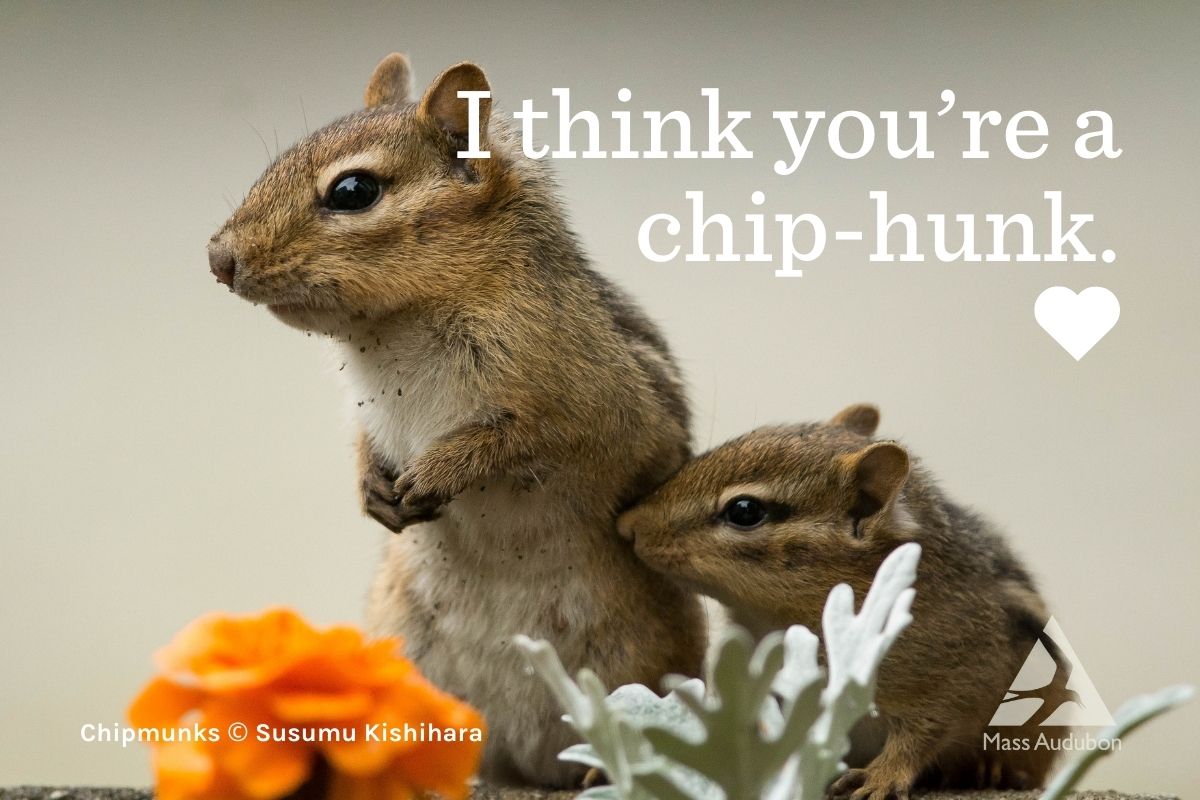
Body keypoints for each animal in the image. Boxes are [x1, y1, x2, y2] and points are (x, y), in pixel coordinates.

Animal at [207, 53, 706, 787]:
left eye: (353, 190)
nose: (218, 258)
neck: (396, 329)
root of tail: (528, 761)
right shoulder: (372, 409)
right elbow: (366, 441)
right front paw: (370, 486)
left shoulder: (597, 409)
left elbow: (520, 438)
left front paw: (442, 469)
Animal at [617, 404, 1070, 800]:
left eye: (744, 510)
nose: (627, 524)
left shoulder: (958, 675)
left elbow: (923, 733)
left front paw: (881, 776)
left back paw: (993, 770)